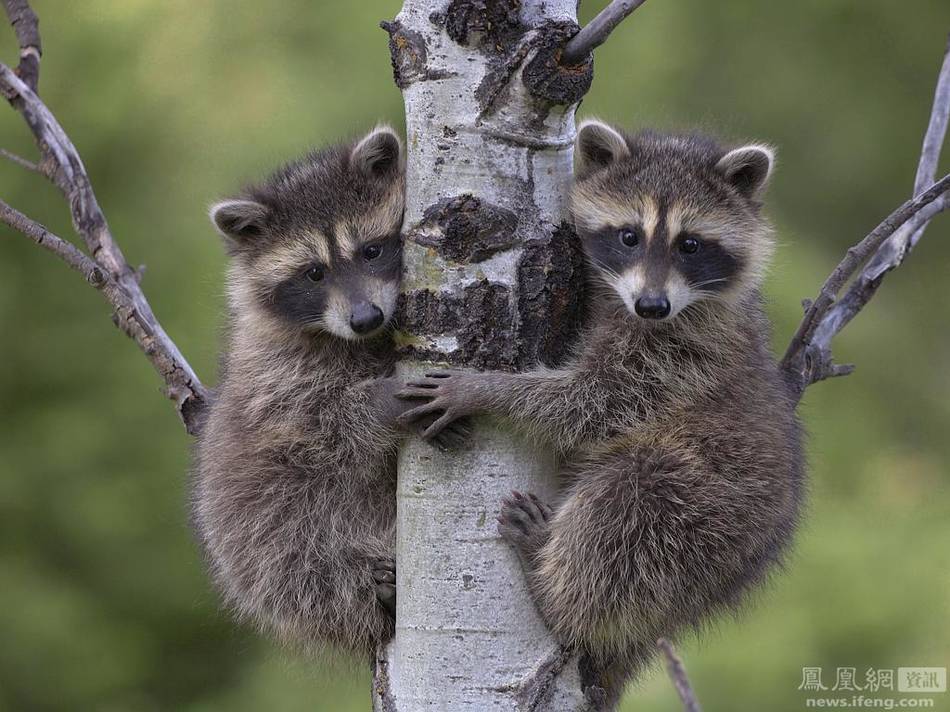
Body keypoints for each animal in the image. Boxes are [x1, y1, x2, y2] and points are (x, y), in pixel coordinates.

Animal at [195, 125, 452, 660]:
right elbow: (320, 430)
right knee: (298, 559)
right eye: (314, 272)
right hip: (252, 533)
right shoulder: (277, 377)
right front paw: (380, 401)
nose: (365, 318)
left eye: (371, 250)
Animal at [398, 121, 808, 700]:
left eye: (690, 244)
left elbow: (594, 402)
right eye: (629, 236)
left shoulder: (681, 356)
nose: (652, 306)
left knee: (627, 505)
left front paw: (488, 389)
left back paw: (552, 586)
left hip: (708, 514)